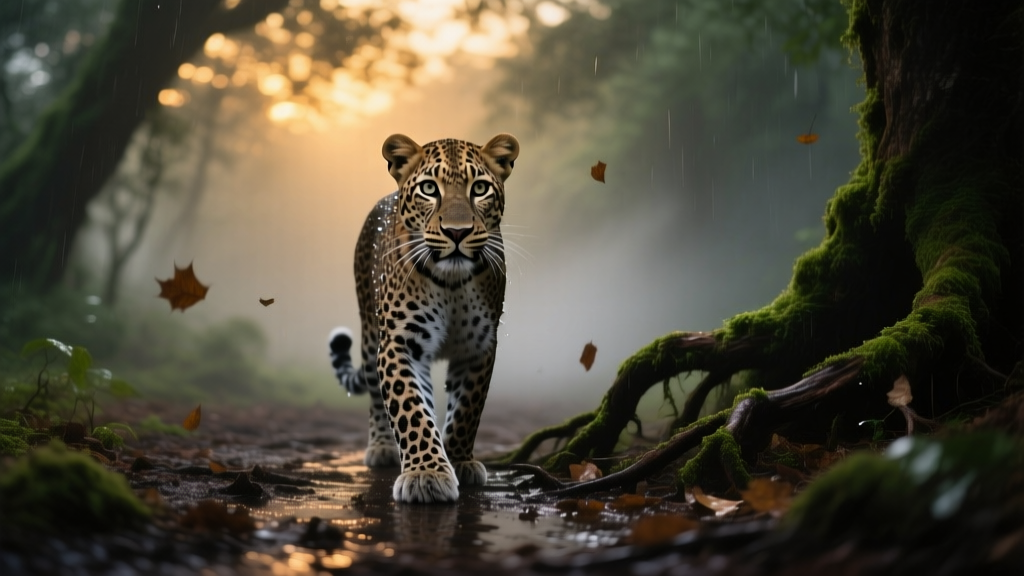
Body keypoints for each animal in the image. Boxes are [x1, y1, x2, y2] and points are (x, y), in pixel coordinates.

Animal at [329, 133, 519, 503]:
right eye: (429, 189)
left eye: (480, 188)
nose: (457, 232)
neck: (452, 283)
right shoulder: (400, 343)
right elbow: (410, 410)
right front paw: (426, 474)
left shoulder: (479, 346)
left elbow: (466, 410)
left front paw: (459, 460)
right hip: (371, 331)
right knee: (376, 394)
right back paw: (382, 447)